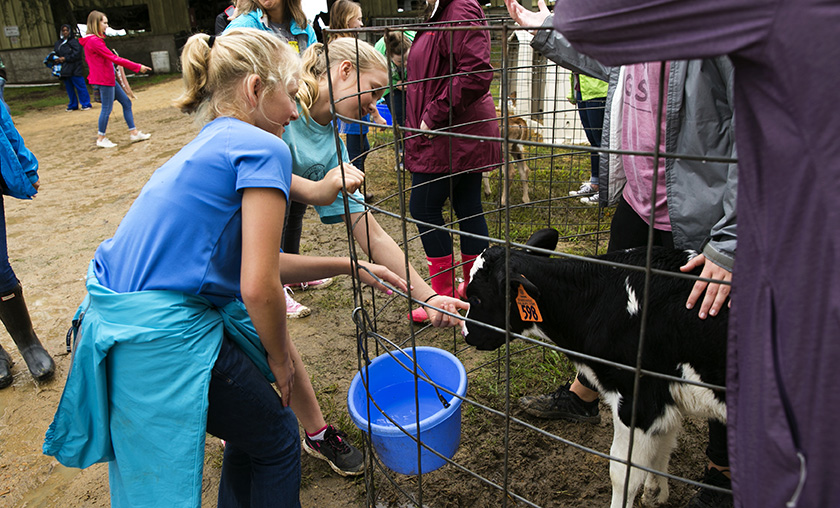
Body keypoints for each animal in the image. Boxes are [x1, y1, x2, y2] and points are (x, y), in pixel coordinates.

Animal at [462, 242, 724, 508]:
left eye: (475, 297)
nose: (466, 334)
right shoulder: (664, 399)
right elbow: (664, 445)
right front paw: (655, 493)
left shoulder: (637, 402)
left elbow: (623, 473)